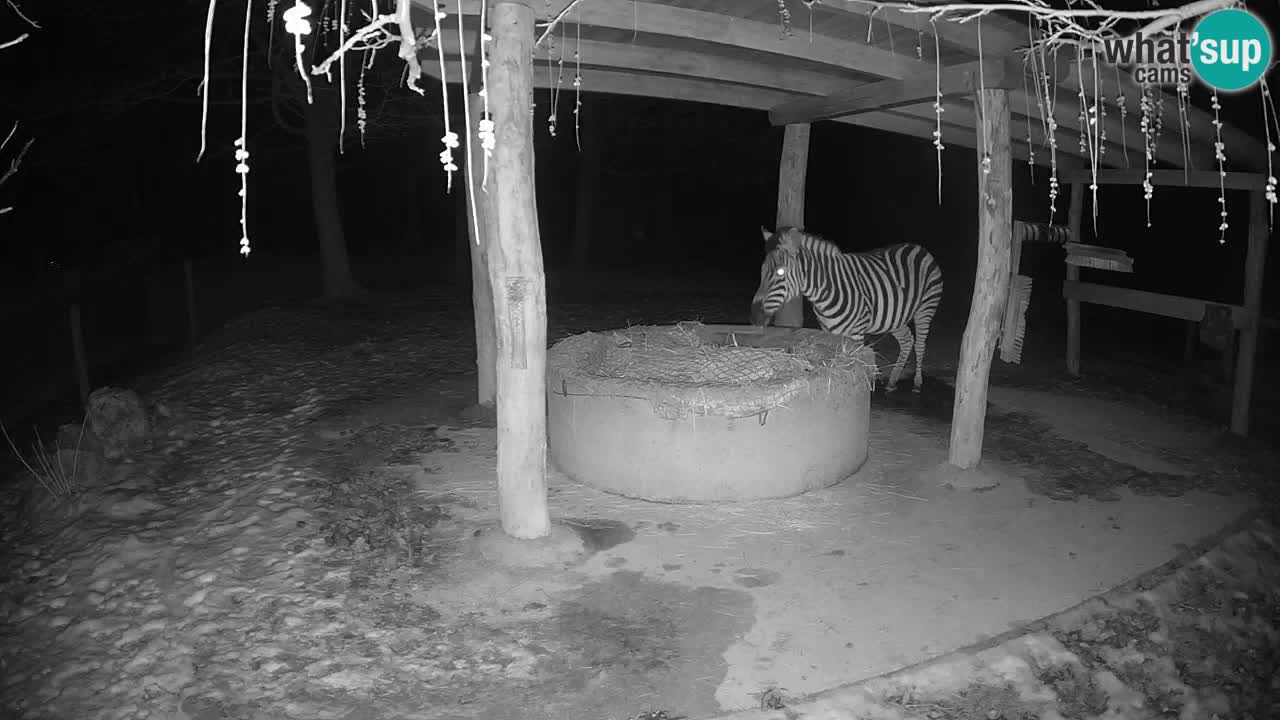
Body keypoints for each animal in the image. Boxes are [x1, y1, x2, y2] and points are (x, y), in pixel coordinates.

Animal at [747, 224, 942, 392]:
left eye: (780, 272)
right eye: (762, 271)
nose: (754, 317)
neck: (825, 292)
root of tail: (918, 247)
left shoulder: (857, 333)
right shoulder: (828, 330)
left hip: (926, 308)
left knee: (920, 344)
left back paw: (917, 384)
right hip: (895, 317)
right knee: (907, 339)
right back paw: (893, 381)